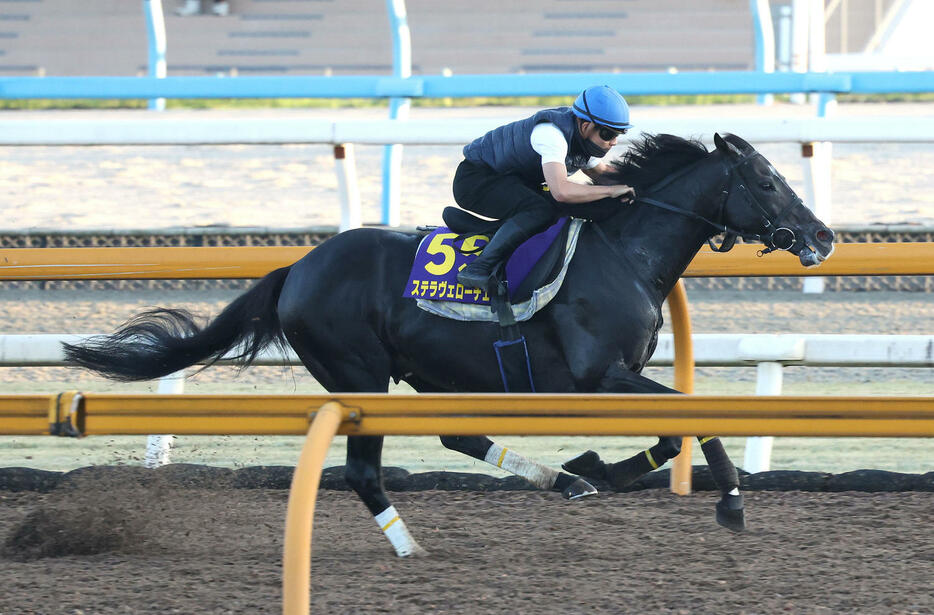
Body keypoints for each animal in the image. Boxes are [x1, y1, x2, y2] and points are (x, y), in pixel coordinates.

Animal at [69, 134, 836, 560]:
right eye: (766, 180)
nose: (823, 236)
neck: (625, 251)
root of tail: (299, 266)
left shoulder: (616, 376)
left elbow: (673, 433)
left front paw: (592, 466)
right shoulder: (597, 374)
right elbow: (692, 417)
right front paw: (730, 501)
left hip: (433, 370)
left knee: (455, 435)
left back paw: (562, 479)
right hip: (360, 377)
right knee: (364, 472)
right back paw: (410, 545)